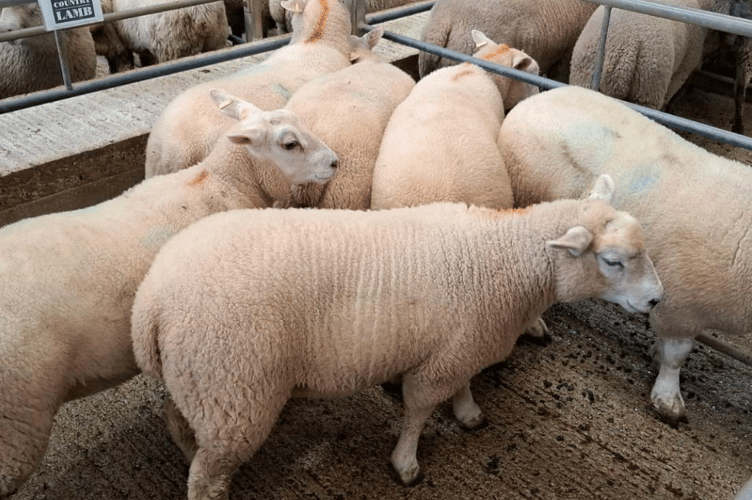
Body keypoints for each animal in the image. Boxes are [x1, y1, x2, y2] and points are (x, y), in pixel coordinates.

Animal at [90, 0, 230, 73]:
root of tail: (199, 11)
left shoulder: (117, 42)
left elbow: (122, 61)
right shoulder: (144, 48)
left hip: (173, 47)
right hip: (216, 38)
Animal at [130, 175, 662, 498]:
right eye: (612, 261)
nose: (658, 300)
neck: (503, 256)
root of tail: (151, 302)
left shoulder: (460, 344)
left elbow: (463, 385)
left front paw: (469, 414)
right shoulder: (441, 360)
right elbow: (419, 409)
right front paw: (406, 463)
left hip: (200, 384)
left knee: (181, 426)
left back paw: (186, 452)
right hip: (235, 389)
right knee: (208, 475)